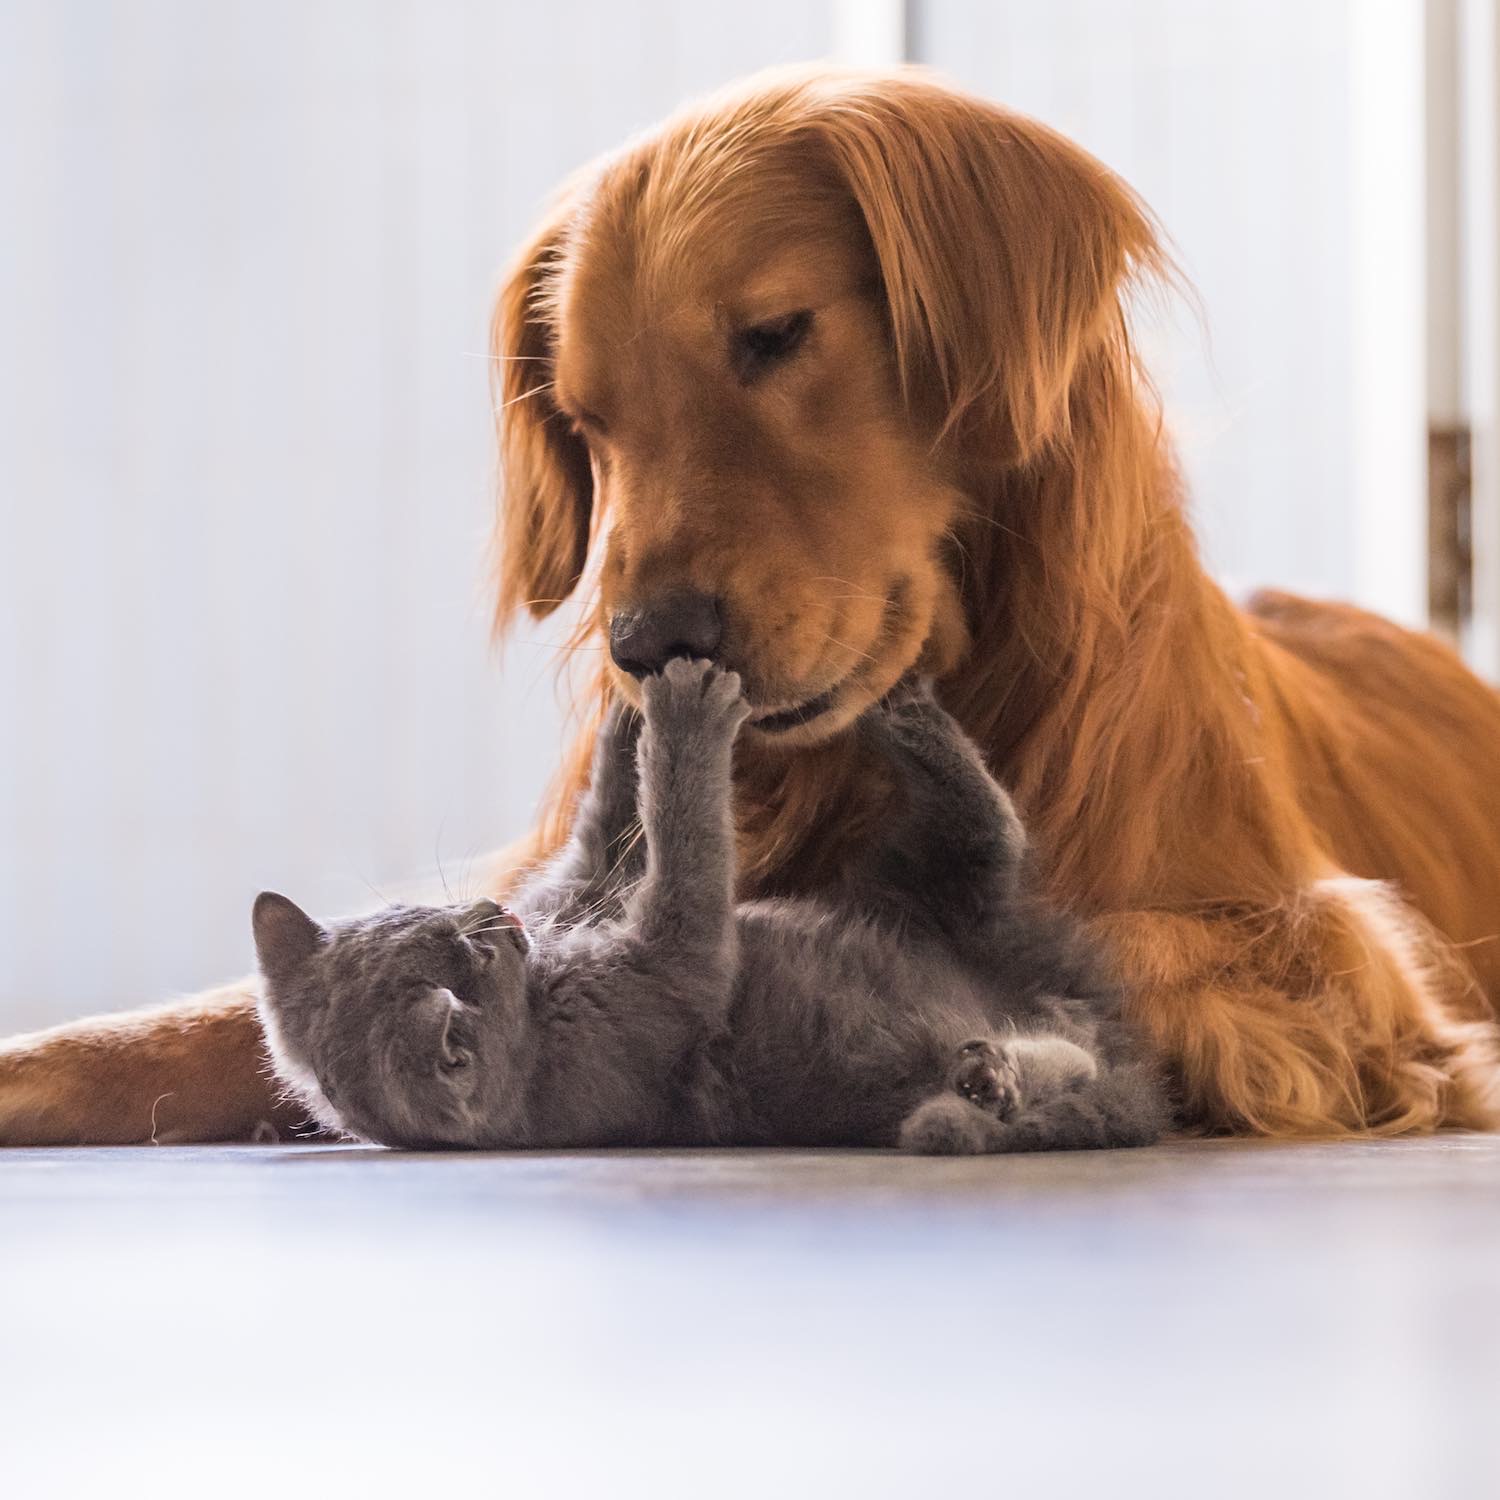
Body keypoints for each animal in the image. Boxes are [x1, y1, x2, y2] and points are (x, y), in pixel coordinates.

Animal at [255, 663, 1170, 1152]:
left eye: (438, 922)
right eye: (472, 960)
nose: (496, 919)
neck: (544, 1003)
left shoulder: (580, 894)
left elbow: (606, 832)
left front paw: (625, 707)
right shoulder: (653, 987)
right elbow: (687, 855)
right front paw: (684, 710)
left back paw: (901, 708)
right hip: (956, 920)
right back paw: (991, 1075)